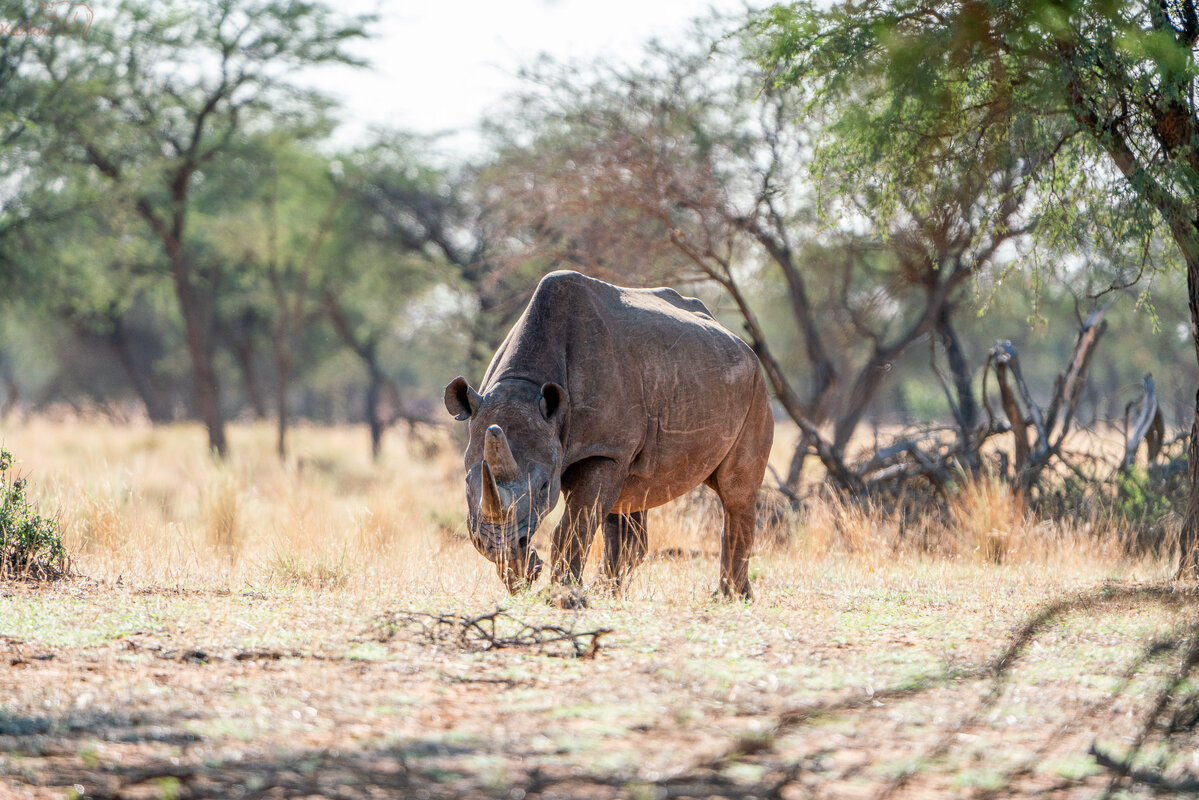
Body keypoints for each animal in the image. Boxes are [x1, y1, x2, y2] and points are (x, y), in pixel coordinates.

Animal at [444, 270, 774, 605]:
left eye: (545, 486)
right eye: (466, 482)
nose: (494, 542)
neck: (523, 384)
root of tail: (739, 341)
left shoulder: (604, 450)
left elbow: (575, 525)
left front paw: (562, 597)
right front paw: (523, 576)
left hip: (755, 386)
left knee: (735, 492)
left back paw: (731, 598)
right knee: (630, 496)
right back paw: (607, 593)